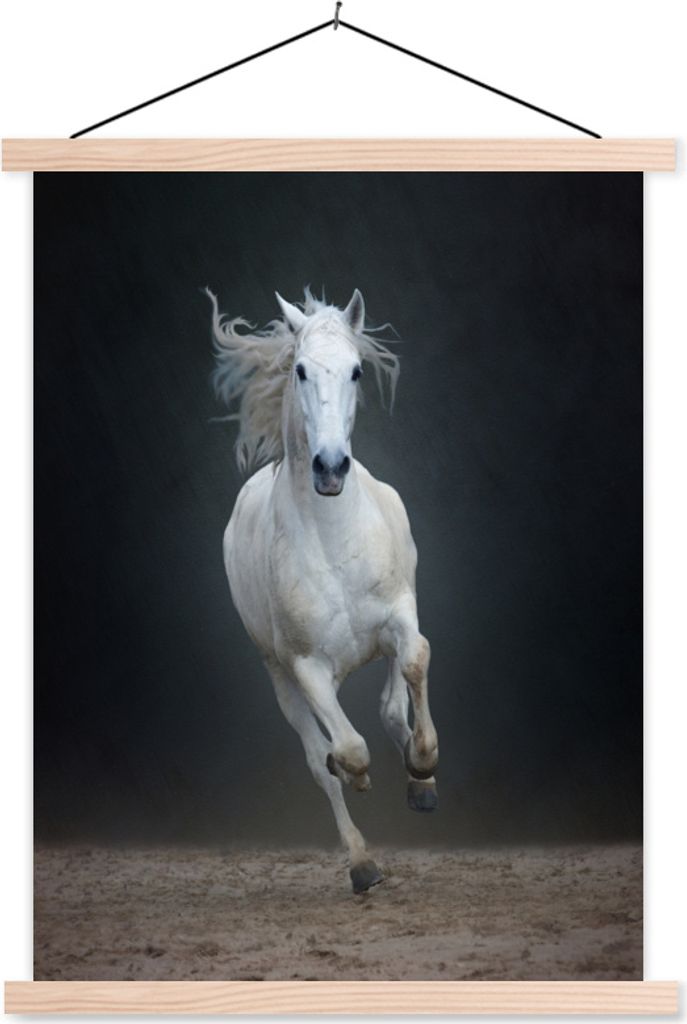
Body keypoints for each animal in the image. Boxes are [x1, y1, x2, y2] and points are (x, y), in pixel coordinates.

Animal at [208, 287, 439, 894]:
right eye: (301, 370)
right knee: (321, 757)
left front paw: (424, 766)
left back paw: (418, 784)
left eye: (356, 370)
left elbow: (415, 662)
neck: (335, 541)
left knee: (390, 705)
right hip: (280, 674)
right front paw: (358, 778)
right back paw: (362, 865)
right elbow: (346, 749)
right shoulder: (305, 667)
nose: (331, 467)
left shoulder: (400, 614)